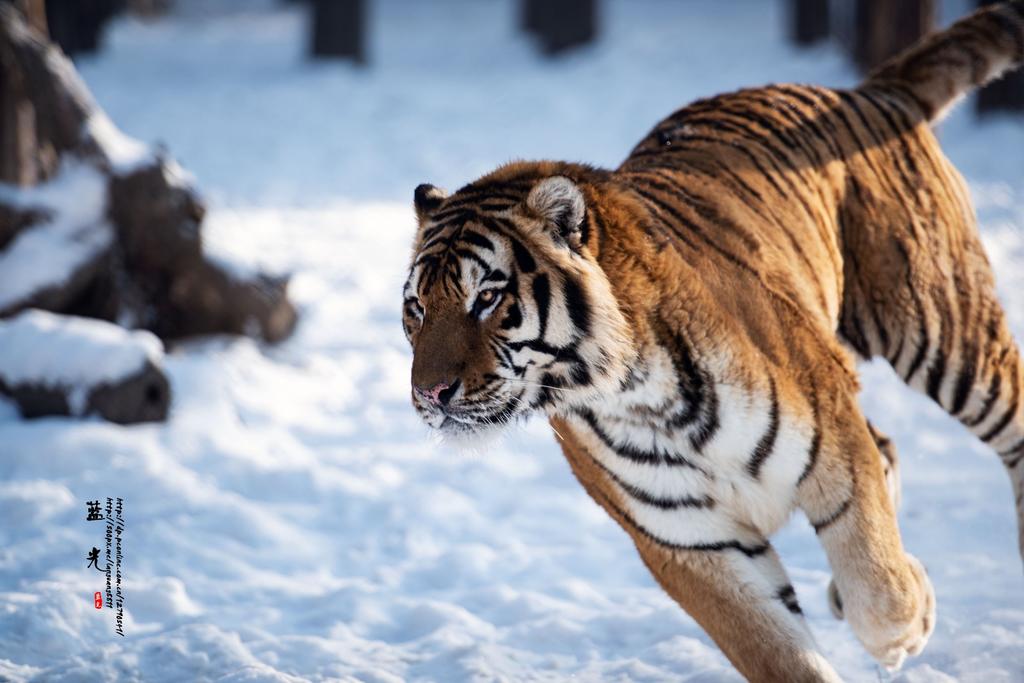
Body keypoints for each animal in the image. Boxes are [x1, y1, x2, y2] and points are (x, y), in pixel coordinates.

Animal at [399, 3, 1024, 679]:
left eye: (486, 298)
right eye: (417, 308)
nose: (429, 394)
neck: (630, 396)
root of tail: (861, 90)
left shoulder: (834, 442)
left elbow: (880, 587)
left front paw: (908, 623)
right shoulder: (689, 541)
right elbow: (778, 653)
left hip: (945, 332)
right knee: (888, 444)